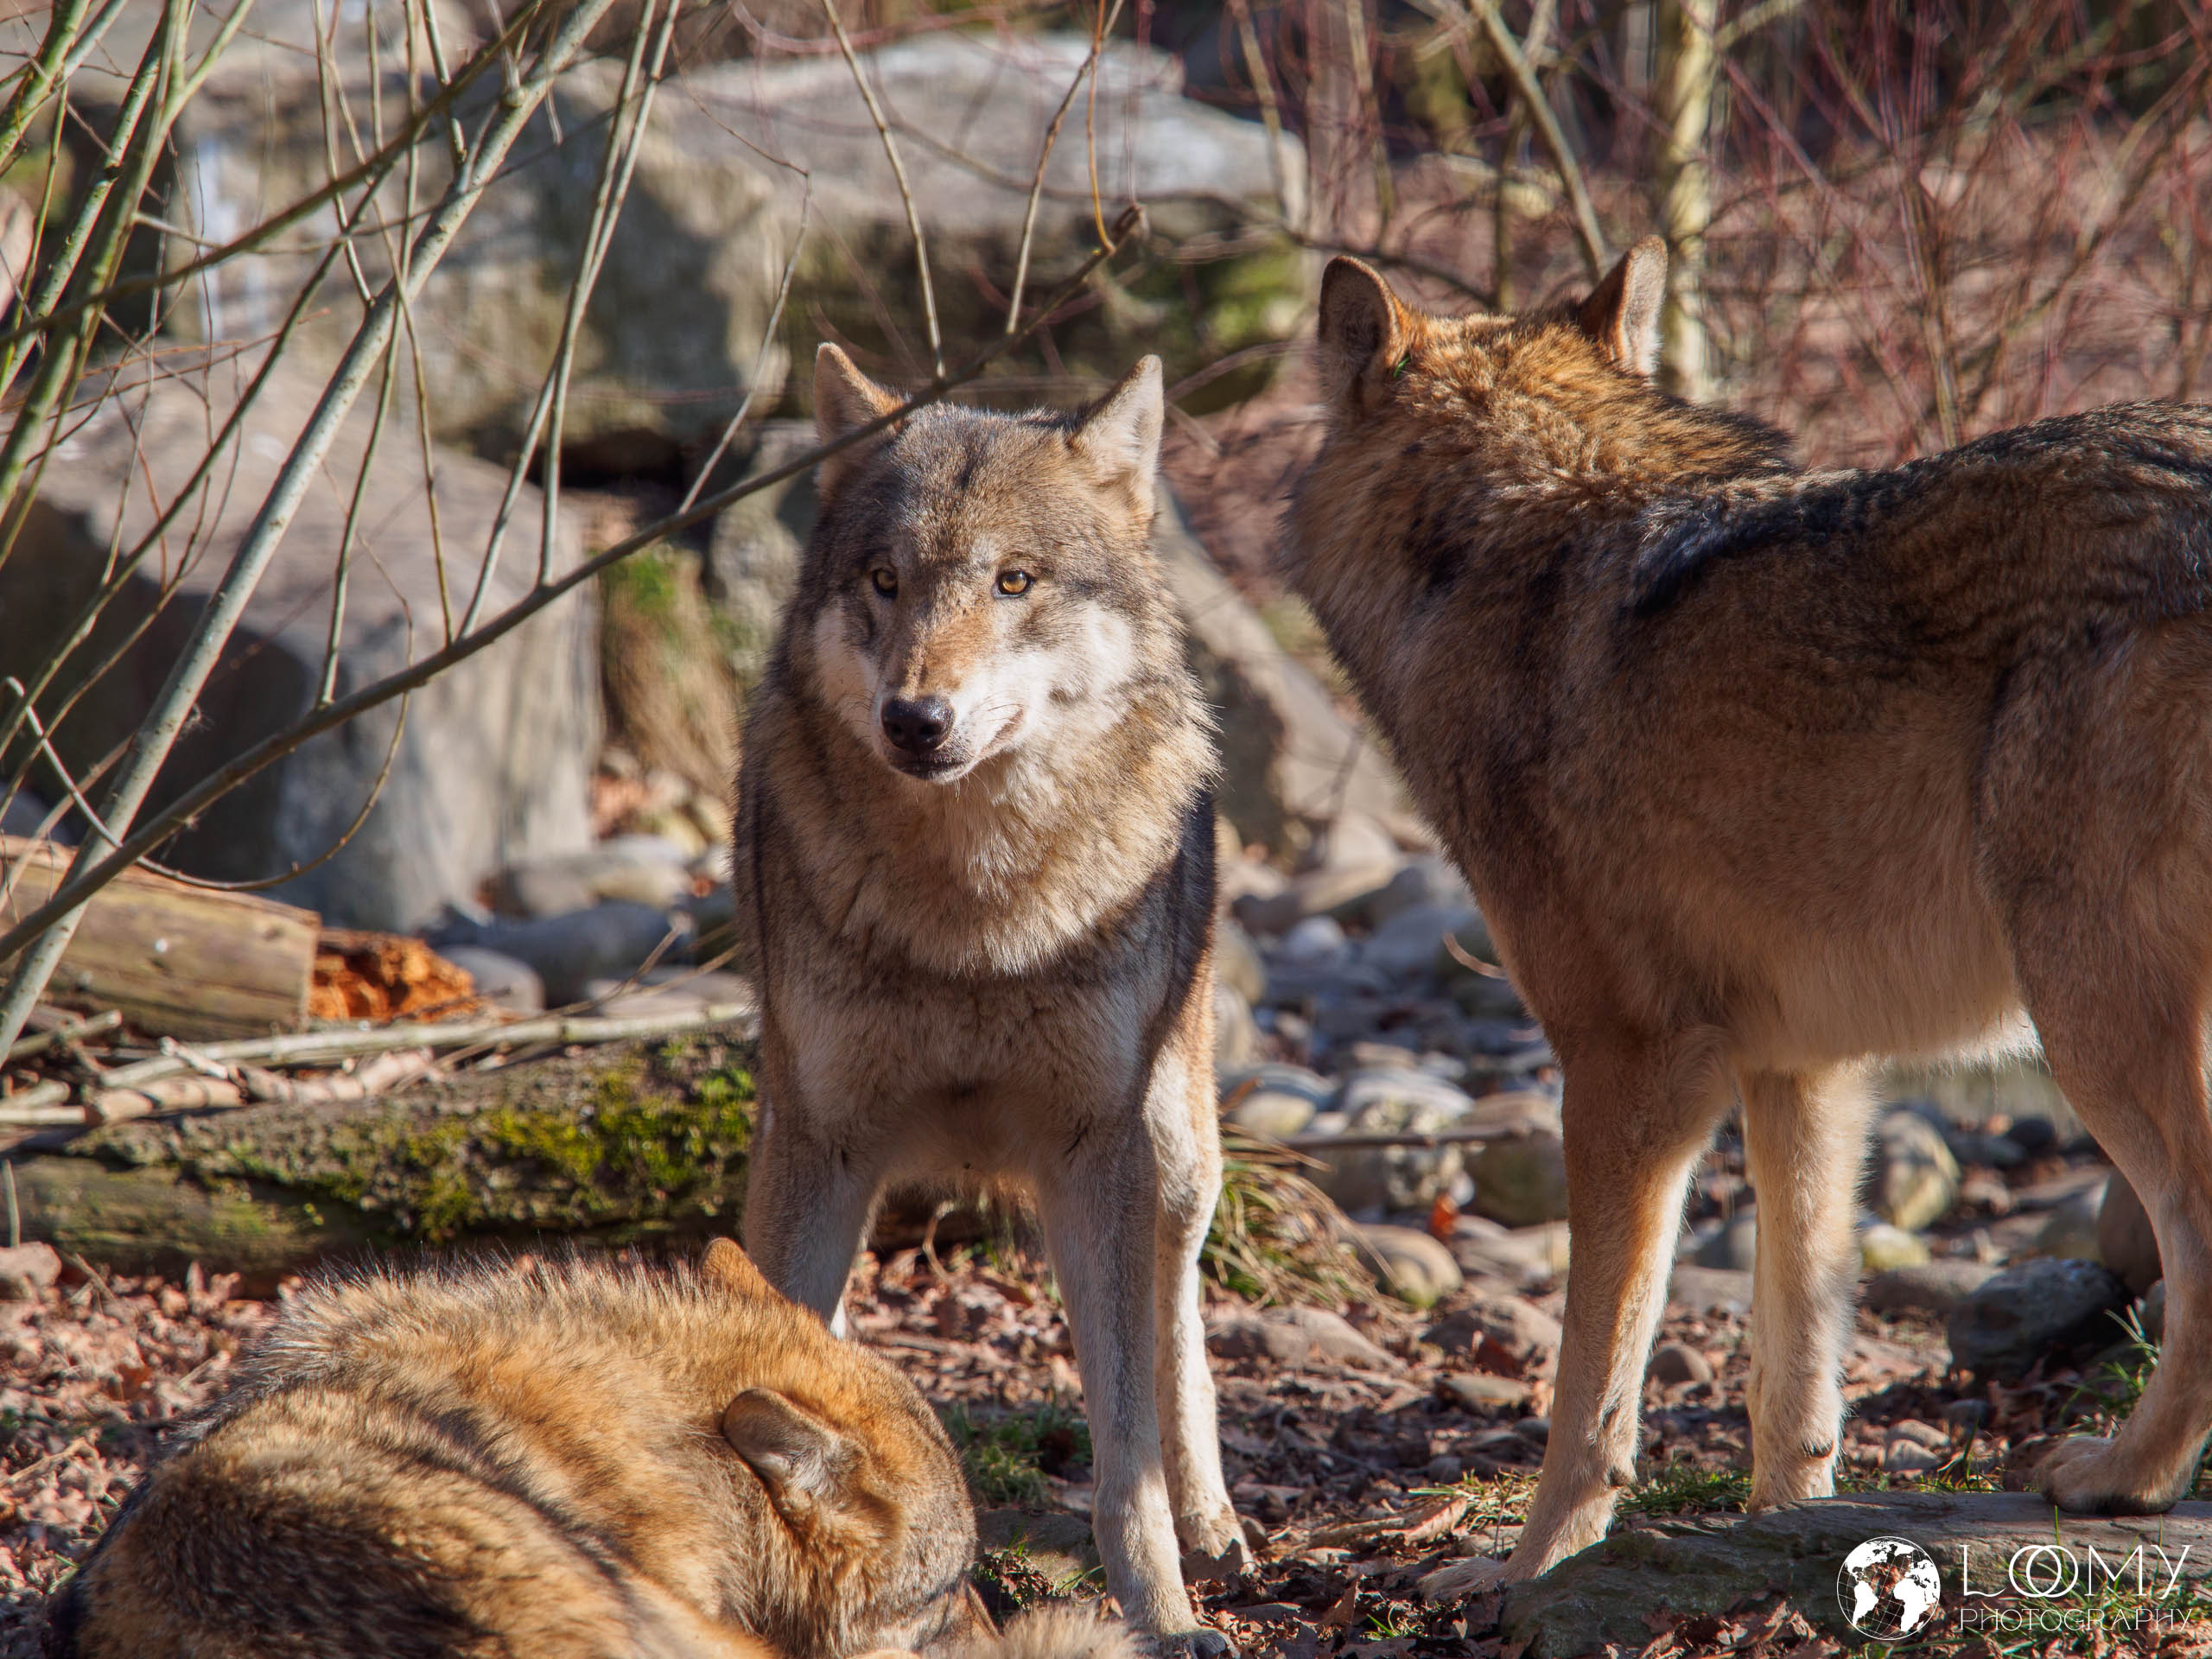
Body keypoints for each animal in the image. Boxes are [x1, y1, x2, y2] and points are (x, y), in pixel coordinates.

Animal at [735, 345, 1246, 1648]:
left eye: (1014, 580)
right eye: (884, 581)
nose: (916, 719)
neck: (975, 921)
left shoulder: (1094, 1149)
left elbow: (1124, 1450)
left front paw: (1162, 1614)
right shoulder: (821, 1140)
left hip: (1172, 1147)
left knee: (1175, 1313)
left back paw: (1217, 1526)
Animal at [1289, 239, 2212, 1590]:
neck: (1504, 554)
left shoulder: (1629, 1069)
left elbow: (1591, 1380)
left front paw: (1528, 1570)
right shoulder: (1803, 1072)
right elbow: (1795, 1366)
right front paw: (1790, 1532)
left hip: (2085, 1015)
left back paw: (2119, 1477)